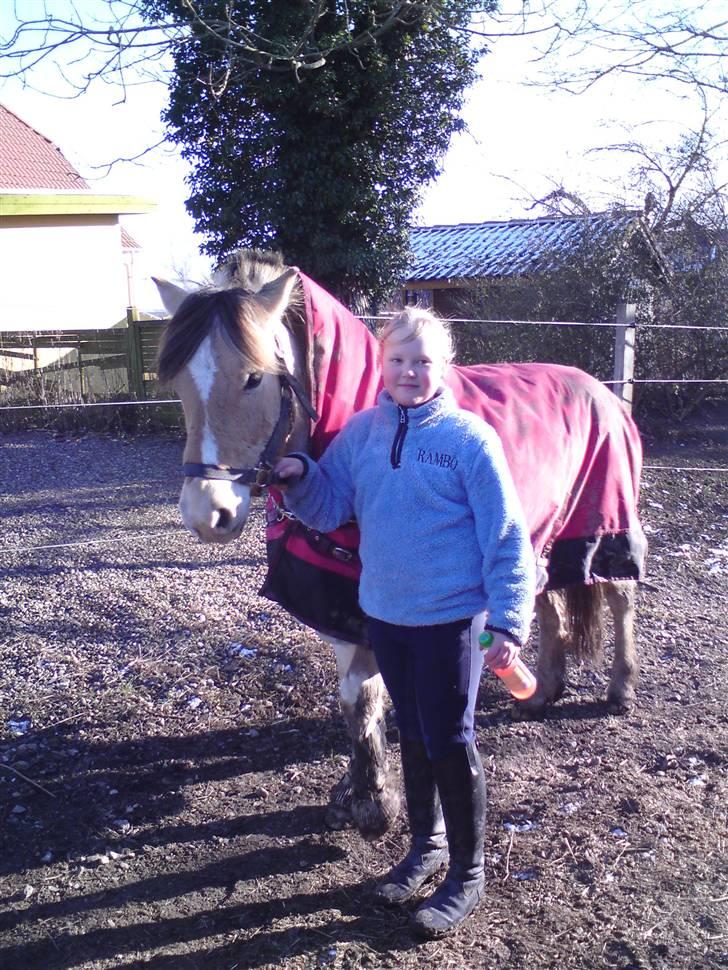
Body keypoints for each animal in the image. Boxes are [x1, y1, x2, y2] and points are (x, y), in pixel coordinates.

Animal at [154, 249, 647, 841]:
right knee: (547, 595)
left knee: (619, 597)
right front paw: (356, 791)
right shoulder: (340, 603)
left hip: (605, 520)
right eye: (180, 382)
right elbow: (355, 698)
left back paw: (620, 690)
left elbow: (378, 696)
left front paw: (374, 802)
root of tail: (601, 390)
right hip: (542, 526)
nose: (207, 514)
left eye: (253, 378)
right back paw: (544, 689)